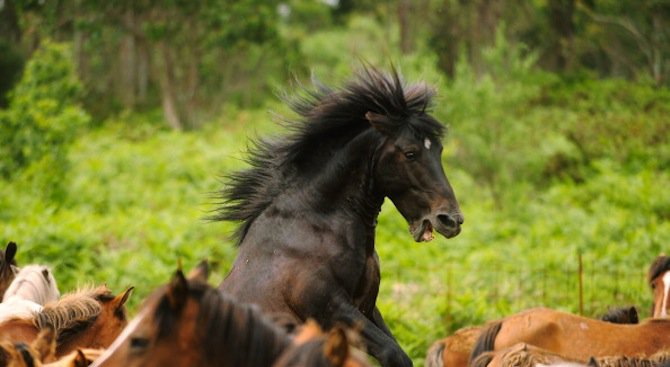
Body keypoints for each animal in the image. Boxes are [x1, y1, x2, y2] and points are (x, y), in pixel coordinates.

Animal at [218, 67, 464, 367]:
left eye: (439, 150)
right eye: (410, 153)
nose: (451, 220)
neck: (315, 227)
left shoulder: (366, 308)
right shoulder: (331, 308)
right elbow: (393, 354)